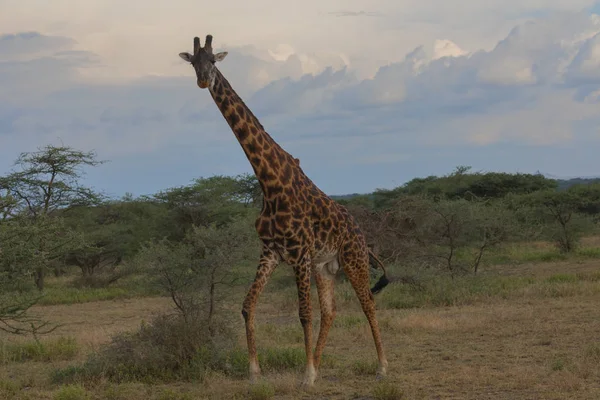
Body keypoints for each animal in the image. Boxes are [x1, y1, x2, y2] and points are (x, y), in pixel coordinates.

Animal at [178, 35, 392, 388]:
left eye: (214, 60)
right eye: (194, 62)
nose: (203, 81)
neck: (269, 183)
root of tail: (360, 231)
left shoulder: (299, 252)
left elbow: (303, 314)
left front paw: (306, 377)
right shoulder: (271, 252)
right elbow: (247, 306)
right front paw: (255, 372)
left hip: (353, 259)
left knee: (368, 304)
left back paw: (381, 366)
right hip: (326, 267)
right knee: (330, 311)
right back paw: (319, 362)